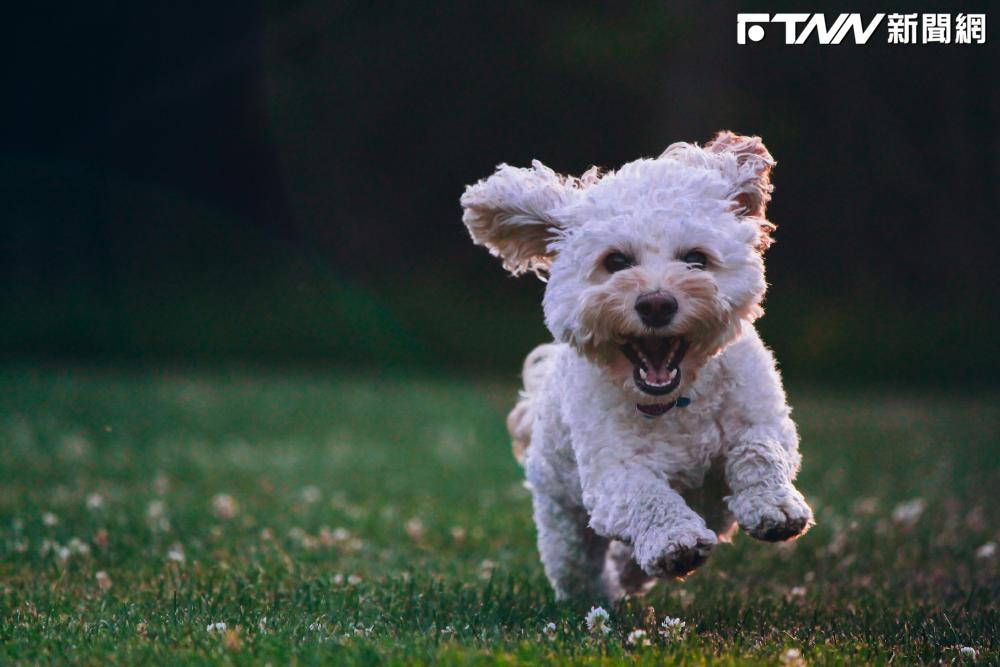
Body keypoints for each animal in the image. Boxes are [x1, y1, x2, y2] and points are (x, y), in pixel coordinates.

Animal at [460, 130, 812, 600]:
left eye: (696, 259)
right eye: (615, 262)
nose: (657, 303)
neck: (677, 401)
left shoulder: (762, 418)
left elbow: (759, 450)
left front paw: (774, 506)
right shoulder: (613, 473)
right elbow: (646, 496)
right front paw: (674, 541)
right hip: (561, 518)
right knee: (577, 564)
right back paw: (600, 594)